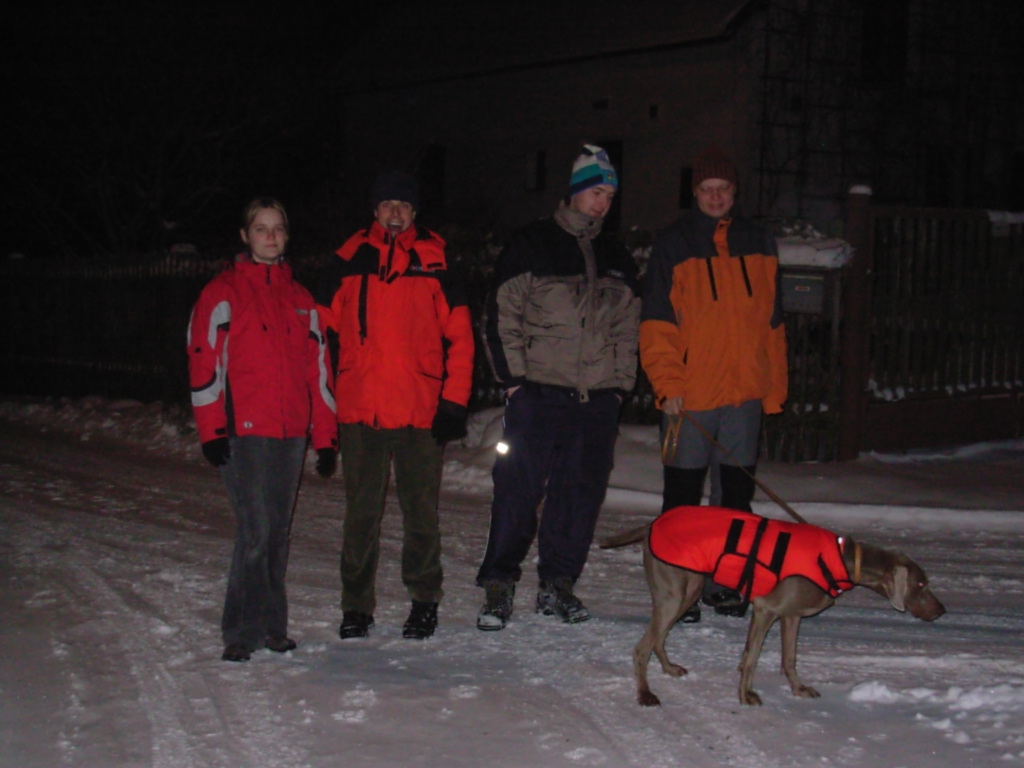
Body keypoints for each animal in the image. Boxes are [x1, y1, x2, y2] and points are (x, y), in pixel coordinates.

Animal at [598, 512, 942, 708]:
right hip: (672, 593)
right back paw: (645, 695)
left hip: (688, 589)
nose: (941, 610)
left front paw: (798, 689)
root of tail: (653, 523)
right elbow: (752, 658)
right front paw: (745, 696)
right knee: (641, 647)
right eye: (921, 584)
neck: (841, 560)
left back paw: (669, 669)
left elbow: (788, 658)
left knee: (658, 638)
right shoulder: (766, 609)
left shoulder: (792, 615)